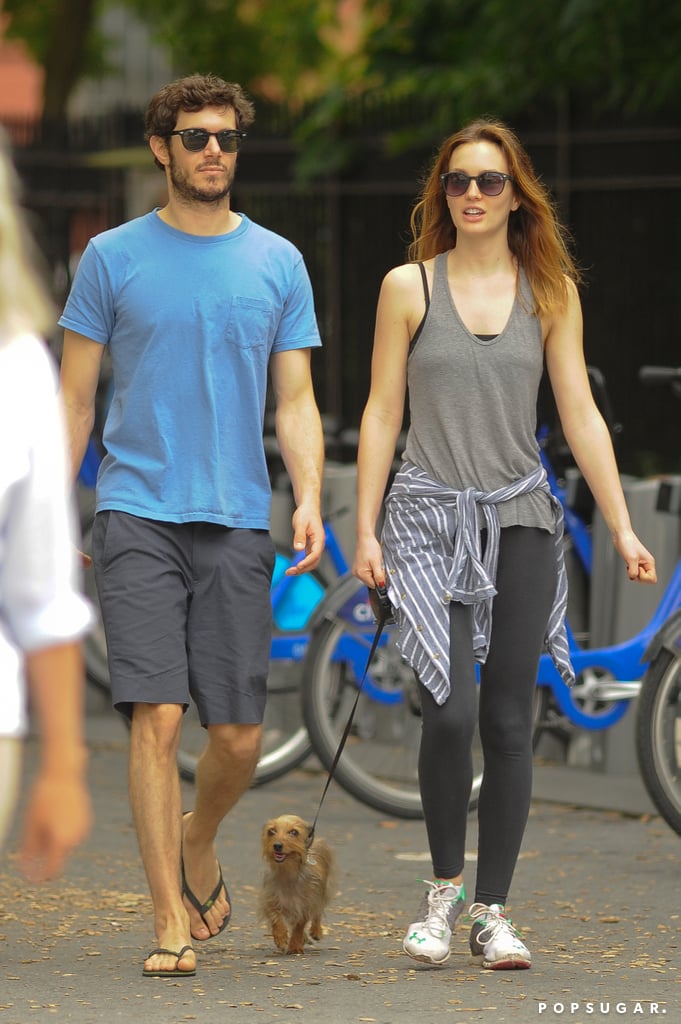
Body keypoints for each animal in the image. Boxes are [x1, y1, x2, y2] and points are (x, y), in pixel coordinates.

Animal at [258, 815, 333, 950]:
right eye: (271, 831)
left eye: (294, 832)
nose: (277, 845)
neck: (288, 872)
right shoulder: (270, 898)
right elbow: (275, 916)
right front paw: (280, 937)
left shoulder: (306, 903)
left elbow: (299, 925)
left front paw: (294, 945)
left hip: (322, 892)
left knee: (317, 913)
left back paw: (316, 931)